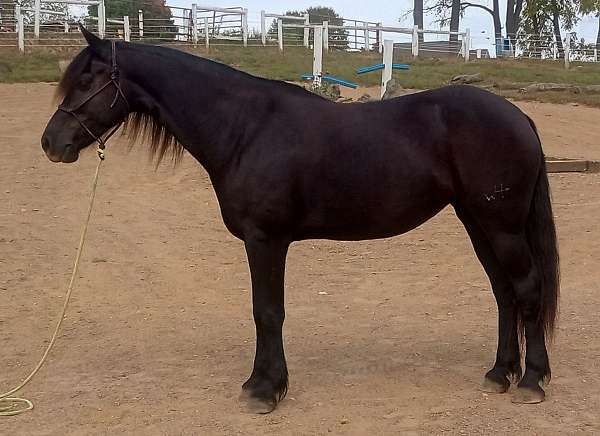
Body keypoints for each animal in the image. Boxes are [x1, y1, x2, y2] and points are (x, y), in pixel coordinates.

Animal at [41, 29, 556, 414]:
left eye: (88, 80)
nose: (51, 143)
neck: (246, 128)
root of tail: (519, 117)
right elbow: (268, 311)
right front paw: (267, 383)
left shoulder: (265, 240)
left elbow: (267, 311)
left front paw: (264, 389)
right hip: (478, 222)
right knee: (504, 293)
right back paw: (500, 374)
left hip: (501, 226)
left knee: (526, 289)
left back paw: (531, 381)